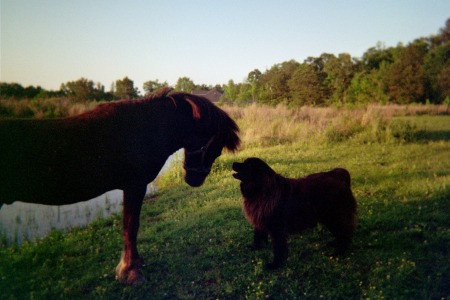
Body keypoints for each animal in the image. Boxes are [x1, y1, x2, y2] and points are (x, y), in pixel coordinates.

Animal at [0, 87, 239, 286]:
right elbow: (130, 226)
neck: (145, 129)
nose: (194, 180)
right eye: (216, 149)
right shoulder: (135, 186)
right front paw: (130, 271)